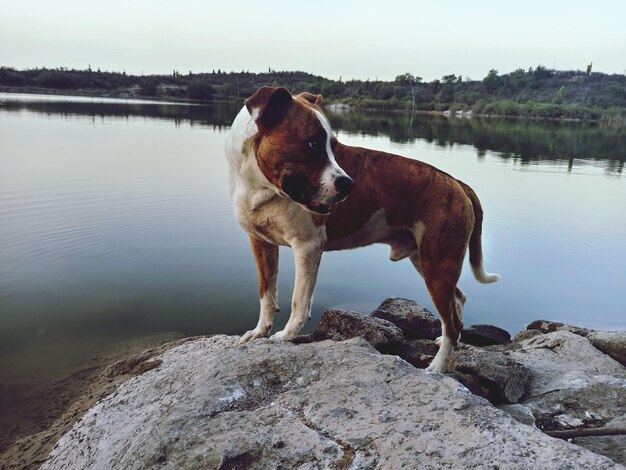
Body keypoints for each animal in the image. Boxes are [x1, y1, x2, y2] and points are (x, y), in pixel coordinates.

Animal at [224, 84, 498, 370]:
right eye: (313, 144)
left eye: (333, 146)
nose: (349, 185)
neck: (261, 187)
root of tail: (457, 183)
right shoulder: (261, 243)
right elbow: (266, 294)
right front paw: (259, 332)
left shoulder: (307, 247)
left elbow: (299, 301)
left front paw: (285, 336)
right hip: (427, 262)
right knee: (458, 301)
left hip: (438, 266)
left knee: (452, 322)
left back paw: (436, 368)